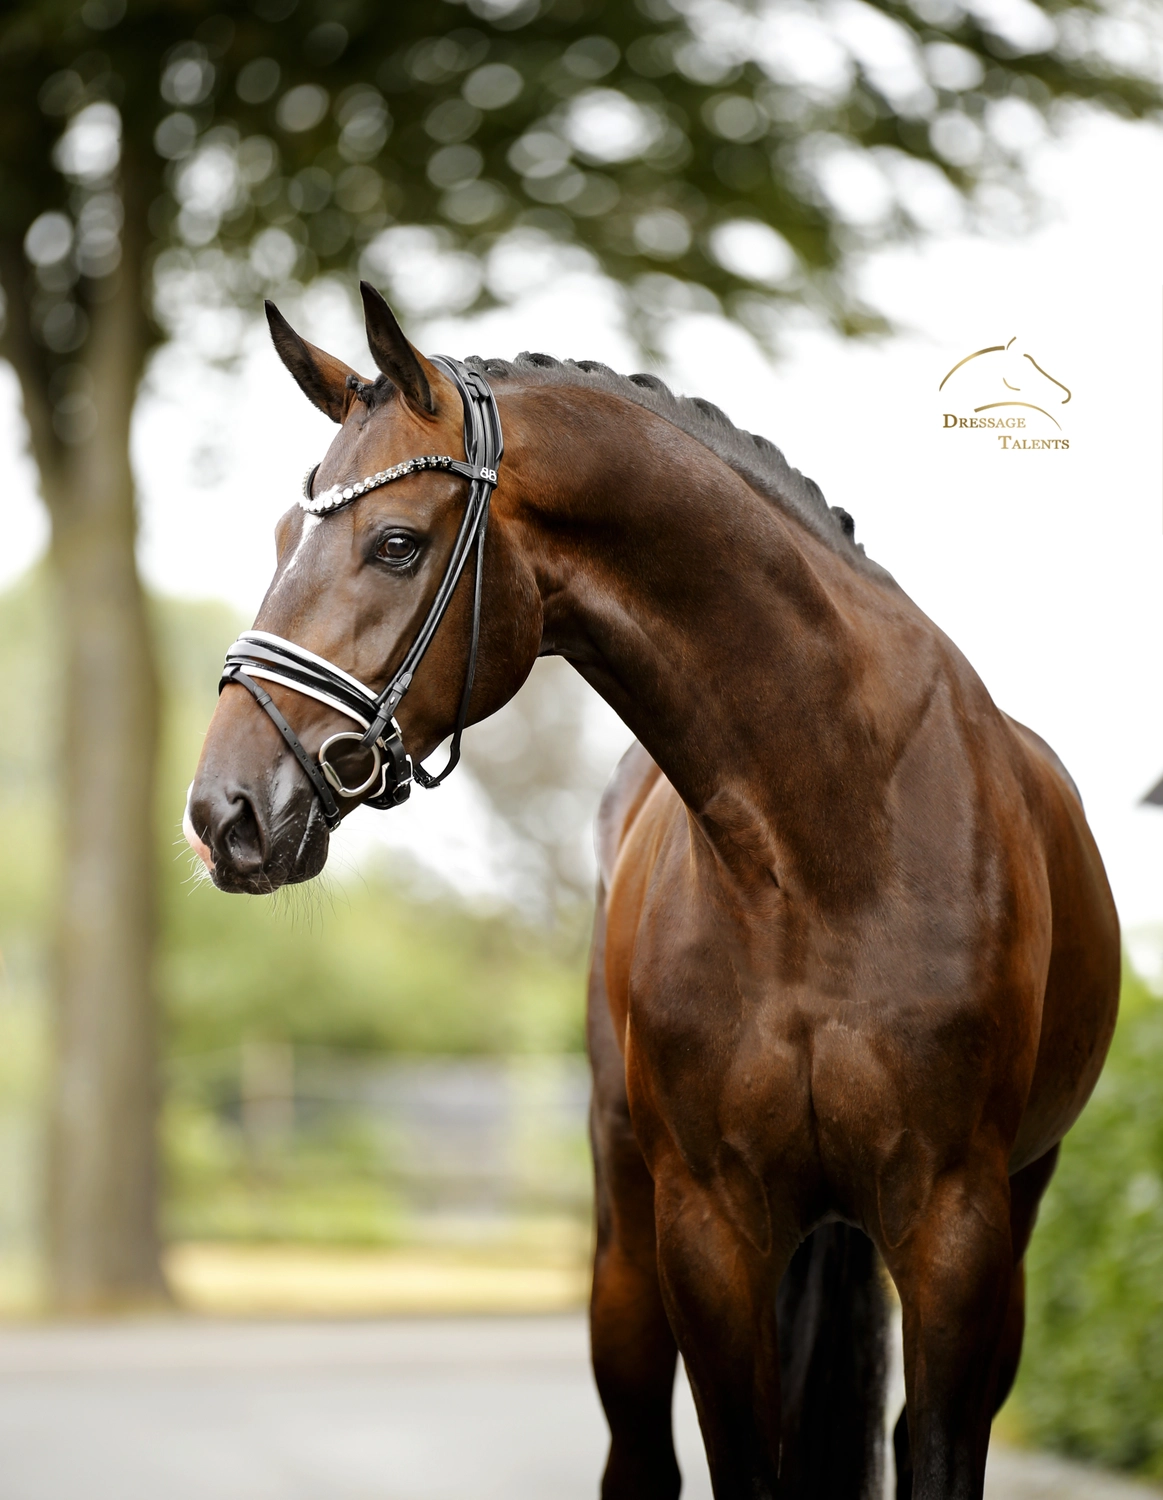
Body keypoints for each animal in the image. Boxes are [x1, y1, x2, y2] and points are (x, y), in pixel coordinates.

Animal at [186, 284, 1120, 1500]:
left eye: (395, 544)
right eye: (283, 538)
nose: (225, 814)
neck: (827, 845)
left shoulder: (954, 1231)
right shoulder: (707, 1232)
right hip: (627, 1248)